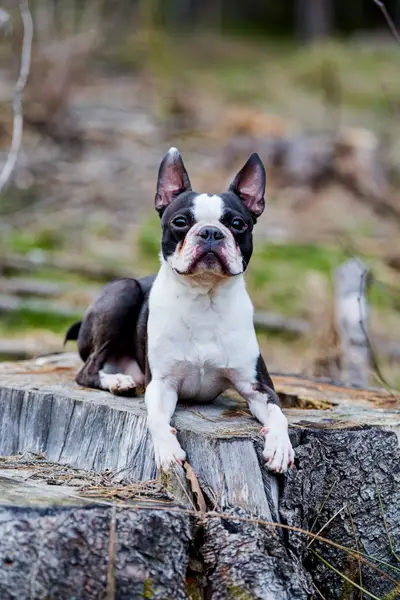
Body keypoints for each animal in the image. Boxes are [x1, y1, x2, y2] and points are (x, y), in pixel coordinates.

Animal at [65, 149, 294, 474]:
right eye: (181, 221)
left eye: (238, 224)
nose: (211, 232)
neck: (204, 301)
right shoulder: (161, 384)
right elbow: (157, 420)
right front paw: (168, 450)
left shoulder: (256, 385)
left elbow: (279, 414)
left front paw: (279, 446)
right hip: (123, 291)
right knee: (87, 370)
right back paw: (118, 381)